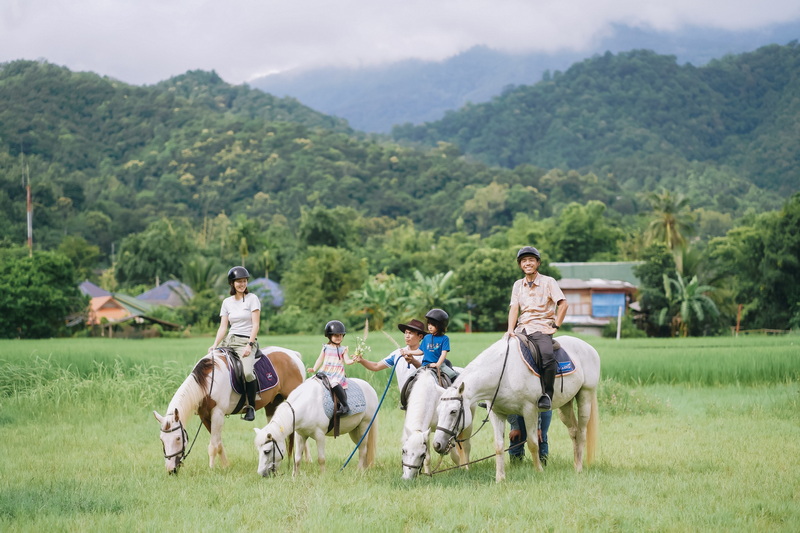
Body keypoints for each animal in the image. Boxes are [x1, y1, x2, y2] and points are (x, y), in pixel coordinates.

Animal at [154, 348, 306, 472]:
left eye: (178, 438)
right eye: (161, 439)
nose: (170, 469)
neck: (209, 382)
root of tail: (293, 354)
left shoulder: (218, 414)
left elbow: (213, 445)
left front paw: (211, 469)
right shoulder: (205, 416)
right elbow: (219, 443)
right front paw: (226, 466)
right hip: (272, 404)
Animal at [432, 336, 600, 482]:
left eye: (453, 411)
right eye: (438, 411)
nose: (437, 444)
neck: (503, 373)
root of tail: (589, 348)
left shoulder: (529, 410)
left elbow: (533, 443)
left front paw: (539, 471)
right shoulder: (496, 413)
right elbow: (499, 446)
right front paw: (500, 478)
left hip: (585, 395)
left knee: (581, 432)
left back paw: (579, 468)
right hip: (566, 404)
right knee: (573, 431)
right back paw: (575, 464)